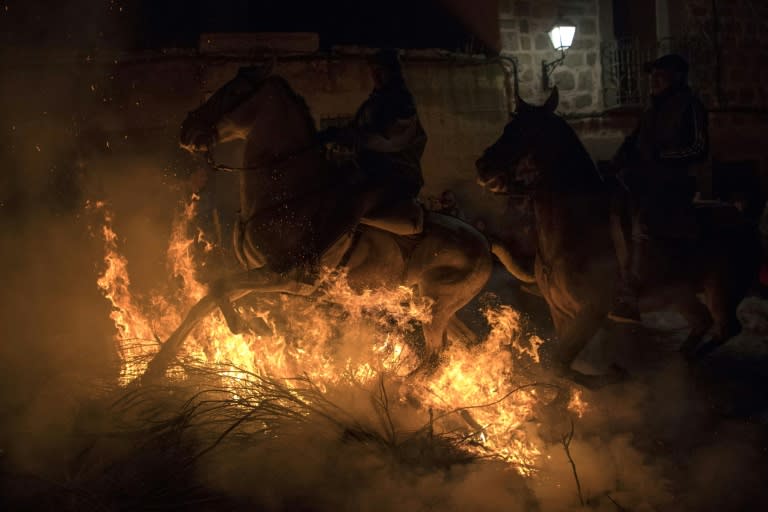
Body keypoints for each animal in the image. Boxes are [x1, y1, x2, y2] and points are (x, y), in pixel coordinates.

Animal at [140, 69, 536, 380]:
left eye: (233, 92)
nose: (187, 129)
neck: (286, 192)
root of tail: (485, 240)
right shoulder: (261, 275)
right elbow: (208, 299)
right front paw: (155, 369)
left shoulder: (281, 275)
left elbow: (219, 287)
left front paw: (250, 326)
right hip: (433, 307)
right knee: (459, 347)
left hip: (435, 308)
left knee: (436, 357)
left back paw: (402, 391)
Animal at [476, 88, 760, 386]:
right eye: (507, 127)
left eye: (526, 130)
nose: (481, 166)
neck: (572, 230)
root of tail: (744, 217)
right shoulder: (560, 312)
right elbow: (559, 363)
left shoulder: (592, 312)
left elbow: (560, 363)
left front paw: (612, 376)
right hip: (679, 294)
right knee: (702, 321)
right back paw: (681, 358)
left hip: (722, 290)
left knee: (726, 328)